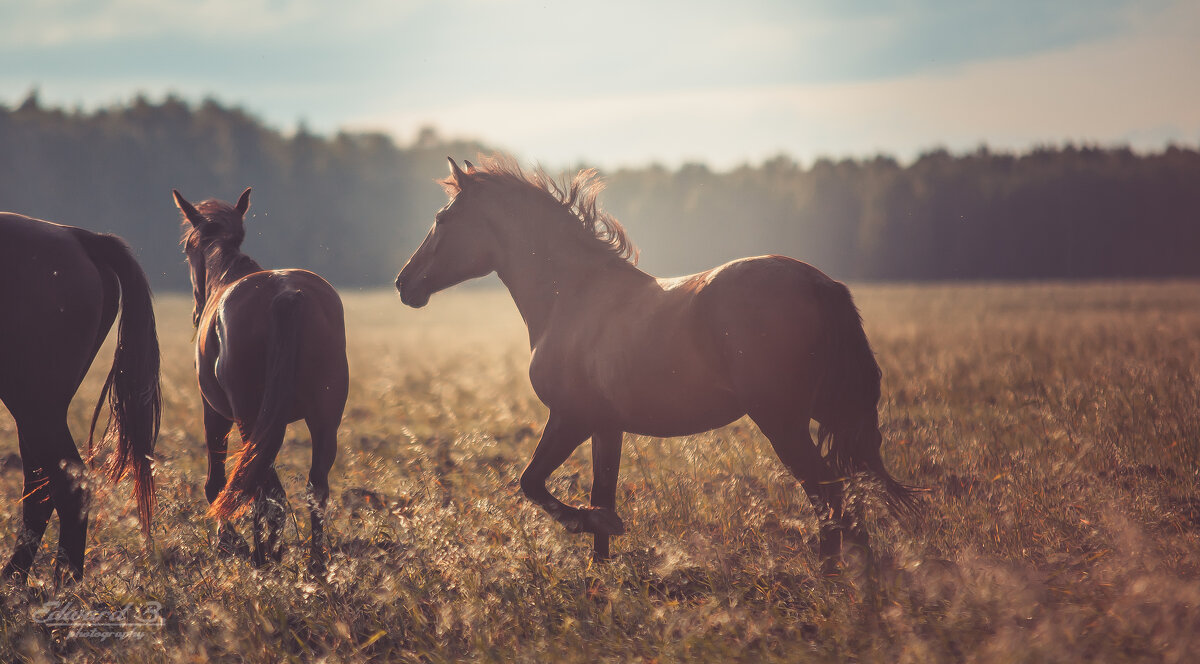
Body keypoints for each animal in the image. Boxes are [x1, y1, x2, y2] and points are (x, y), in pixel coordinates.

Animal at [0, 212, 160, 585]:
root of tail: (78, 237)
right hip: (37, 409)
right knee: (41, 488)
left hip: (35, 404)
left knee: (66, 488)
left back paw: (59, 584)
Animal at [175, 187, 350, 573]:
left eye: (188, 250)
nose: (195, 313)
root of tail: (287, 294)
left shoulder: (214, 413)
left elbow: (216, 482)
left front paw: (228, 541)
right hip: (323, 418)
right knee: (315, 487)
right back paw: (315, 564)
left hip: (249, 418)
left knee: (260, 486)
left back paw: (262, 556)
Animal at [396, 156, 916, 569]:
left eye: (443, 218)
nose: (405, 284)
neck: (571, 298)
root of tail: (821, 284)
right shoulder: (606, 426)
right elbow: (598, 492)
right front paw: (600, 577)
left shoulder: (570, 417)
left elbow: (533, 483)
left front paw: (592, 525)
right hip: (824, 413)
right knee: (847, 494)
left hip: (782, 421)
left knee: (828, 493)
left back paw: (831, 577)